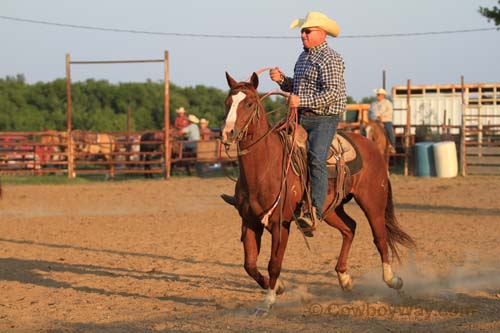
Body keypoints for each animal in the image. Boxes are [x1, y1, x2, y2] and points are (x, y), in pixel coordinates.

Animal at [222, 72, 414, 314]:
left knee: (379, 238)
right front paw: (279, 287)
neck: (266, 167)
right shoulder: (249, 221)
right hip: (329, 209)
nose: (227, 133)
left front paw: (268, 301)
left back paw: (393, 280)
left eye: (248, 103)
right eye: (227, 102)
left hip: (373, 202)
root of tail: (372, 147)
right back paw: (345, 279)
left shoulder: (280, 224)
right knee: (350, 228)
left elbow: (274, 263)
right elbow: (250, 264)